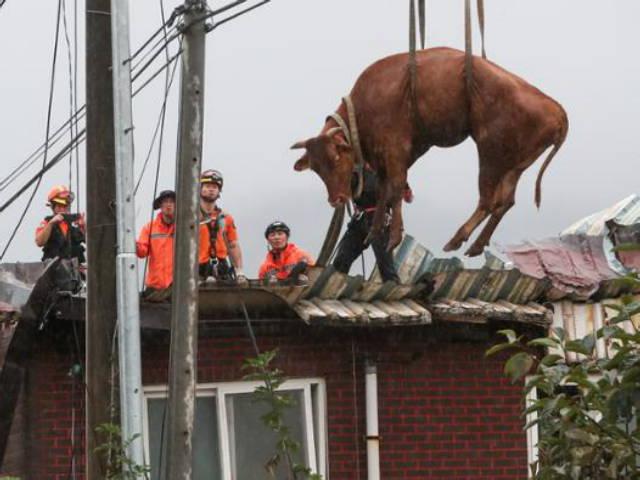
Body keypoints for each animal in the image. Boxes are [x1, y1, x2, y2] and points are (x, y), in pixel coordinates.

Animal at [292, 48, 568, 256]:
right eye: (316, 169)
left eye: (336, 157)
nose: (336, 200)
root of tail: (555, 108)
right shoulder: (392, 157)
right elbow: (384, 193)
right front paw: (374, 233)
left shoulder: (395, 148)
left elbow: (395, 189)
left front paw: (393, 237)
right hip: (516, 164)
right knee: (505, 202)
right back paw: (477, 245)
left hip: (490, 152)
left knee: (489, 200)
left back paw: (458, 239)